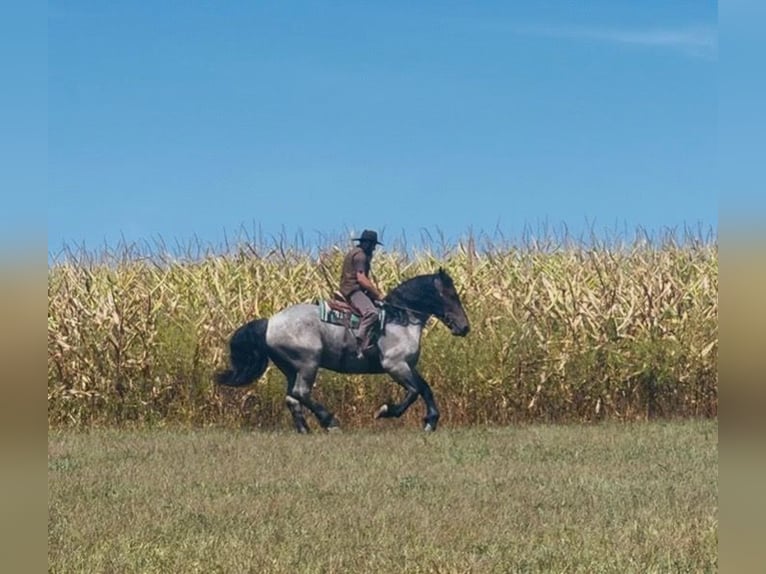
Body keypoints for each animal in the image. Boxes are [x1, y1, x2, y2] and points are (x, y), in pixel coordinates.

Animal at [215, 268, 470, 433]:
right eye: (450, 294)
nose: (464, 327)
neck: (399, 319)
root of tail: (269, 322)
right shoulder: (395, 365)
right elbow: (414, 392)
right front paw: (385, 411)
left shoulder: (408, 366)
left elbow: (425, 389)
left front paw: (431, 421)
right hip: (308, 364)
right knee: (301, 393)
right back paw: (330, 422)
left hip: (291, 368)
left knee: (292, 398)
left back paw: (305, 429)